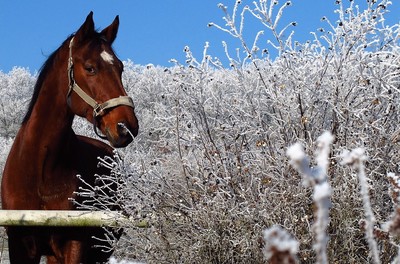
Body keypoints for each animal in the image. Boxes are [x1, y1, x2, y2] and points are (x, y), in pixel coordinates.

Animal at [1, 11, 139, 262]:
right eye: (90, 68)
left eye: (120, 68)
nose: (127, 127)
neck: (41, 167)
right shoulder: (20, 246)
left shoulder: (74, 245)